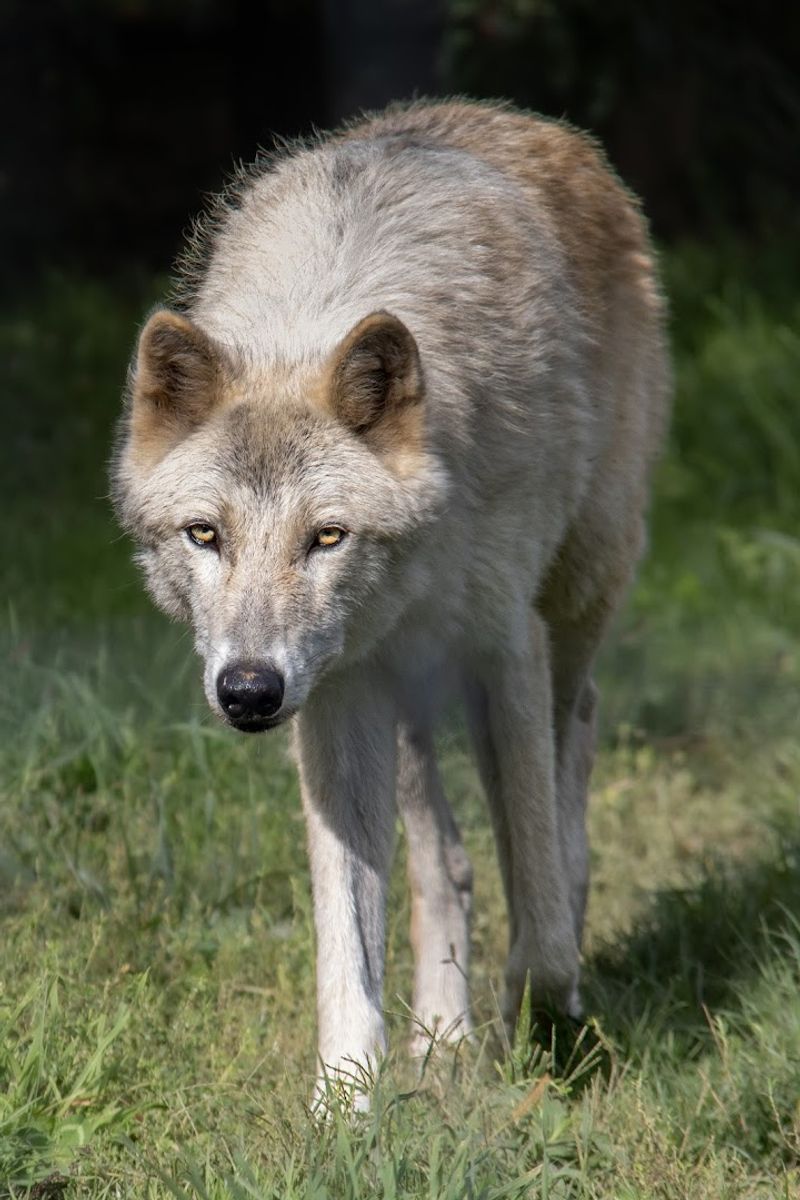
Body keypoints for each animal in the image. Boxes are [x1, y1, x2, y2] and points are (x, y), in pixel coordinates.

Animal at [112, 99, 669, 1088]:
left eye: (326, 536)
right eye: (205, 535)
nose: (248, 691)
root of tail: (531, 122)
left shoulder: (504, 651)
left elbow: (536, 899)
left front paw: (544, 1016)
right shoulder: (337, 695)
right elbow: (349, 934)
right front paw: (347, 1102)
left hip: (573, 607)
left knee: (571, 762)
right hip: (400, 689)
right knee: (446, 861)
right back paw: (443, 1036)